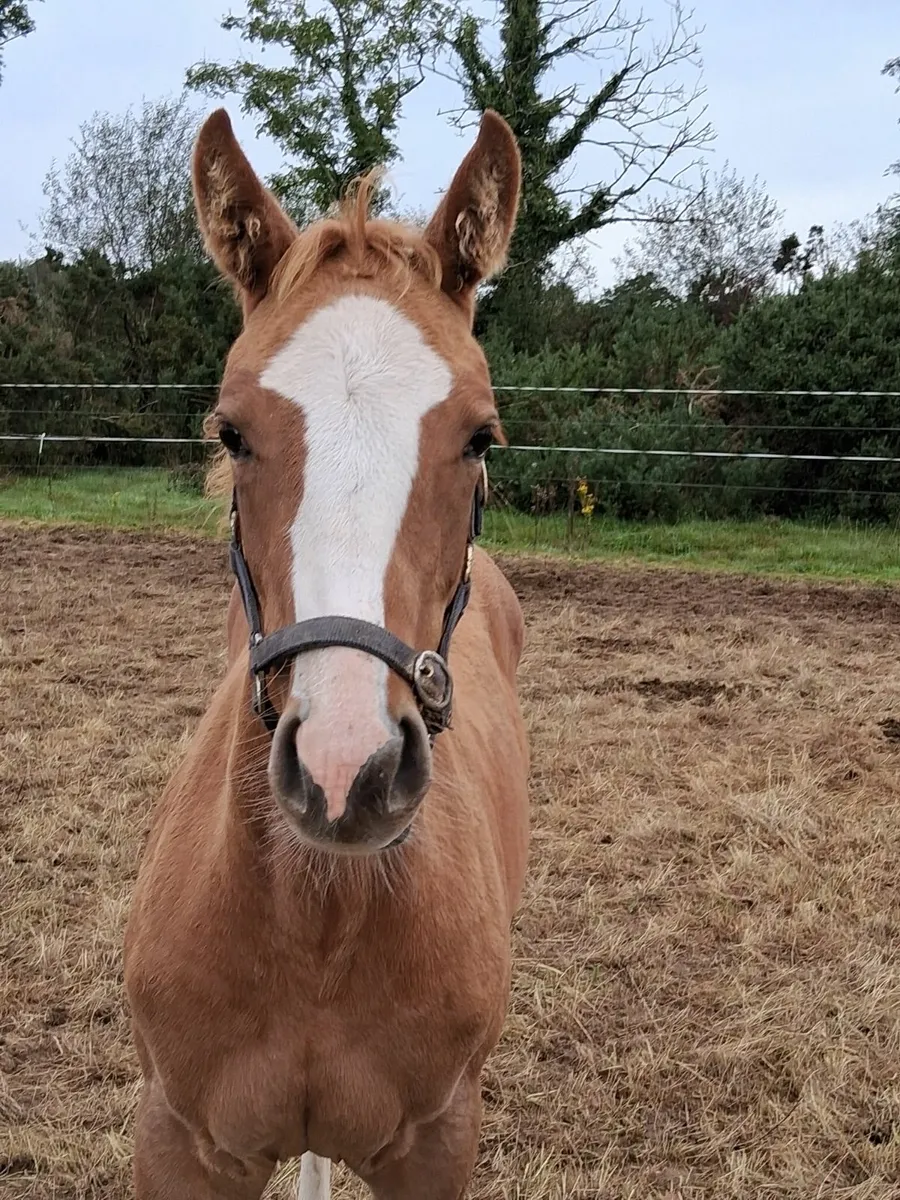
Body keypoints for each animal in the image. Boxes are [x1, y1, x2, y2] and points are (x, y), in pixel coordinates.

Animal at [123, 106, 530, 1200]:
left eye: (480, 438)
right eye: (232, 431)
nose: (349, 773)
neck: (316, 926)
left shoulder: (438, 1143)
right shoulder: (181, 1140)